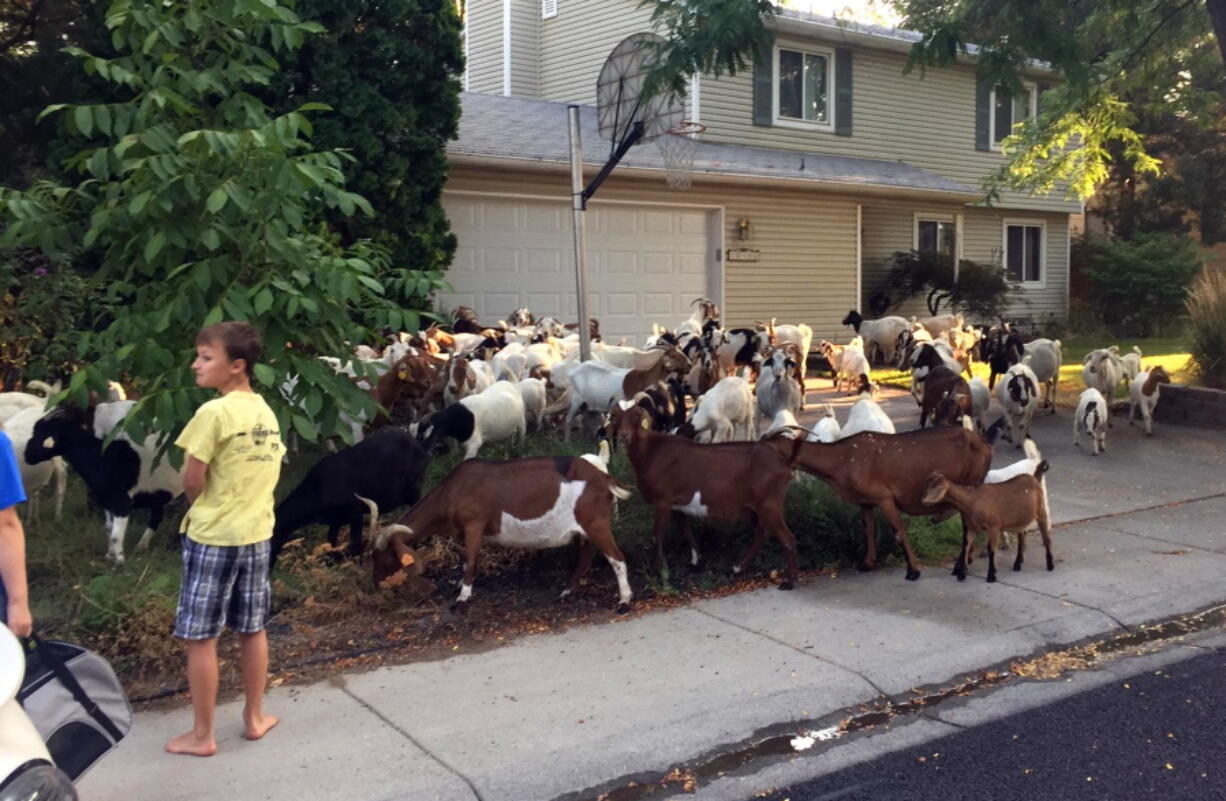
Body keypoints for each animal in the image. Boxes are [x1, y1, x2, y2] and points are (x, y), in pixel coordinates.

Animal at [367, 441, 637, 608]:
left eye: (387, 558)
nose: (376, 584)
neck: (453, 490)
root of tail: (603, 477)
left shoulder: (474, 525)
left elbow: (471, 560)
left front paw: (463, 598)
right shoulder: (463, 532)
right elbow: (463, 560)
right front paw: (459, 586)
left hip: (595, 522)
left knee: (617, 557)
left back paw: (624, 601)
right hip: (582, 529)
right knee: (586, 557)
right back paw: (566, 592)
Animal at [608, 407, 799, 586]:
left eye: (636, 418)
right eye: (617, 419)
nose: (624, 435)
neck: (650, 451)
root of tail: (784, 462)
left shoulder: (662, 501)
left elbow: (657, 536)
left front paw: (655, 572)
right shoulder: (676, 505)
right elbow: (685, 530)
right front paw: (695, 560)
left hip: (769, 504)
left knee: (787, 537)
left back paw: (789, 581)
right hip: (750, 508)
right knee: (761, 532)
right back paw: (738, 568)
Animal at [765, 424, 995, 581]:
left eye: (768, 446)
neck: (841, 459)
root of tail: (987, 446)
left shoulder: (884, 497)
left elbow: (898, 529)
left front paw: (913, 571)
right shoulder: (865, 501)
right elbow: (868, 528)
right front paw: (867, 563)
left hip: (971, 484)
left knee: (969, 524)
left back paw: (960, 568)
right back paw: (966, 561)